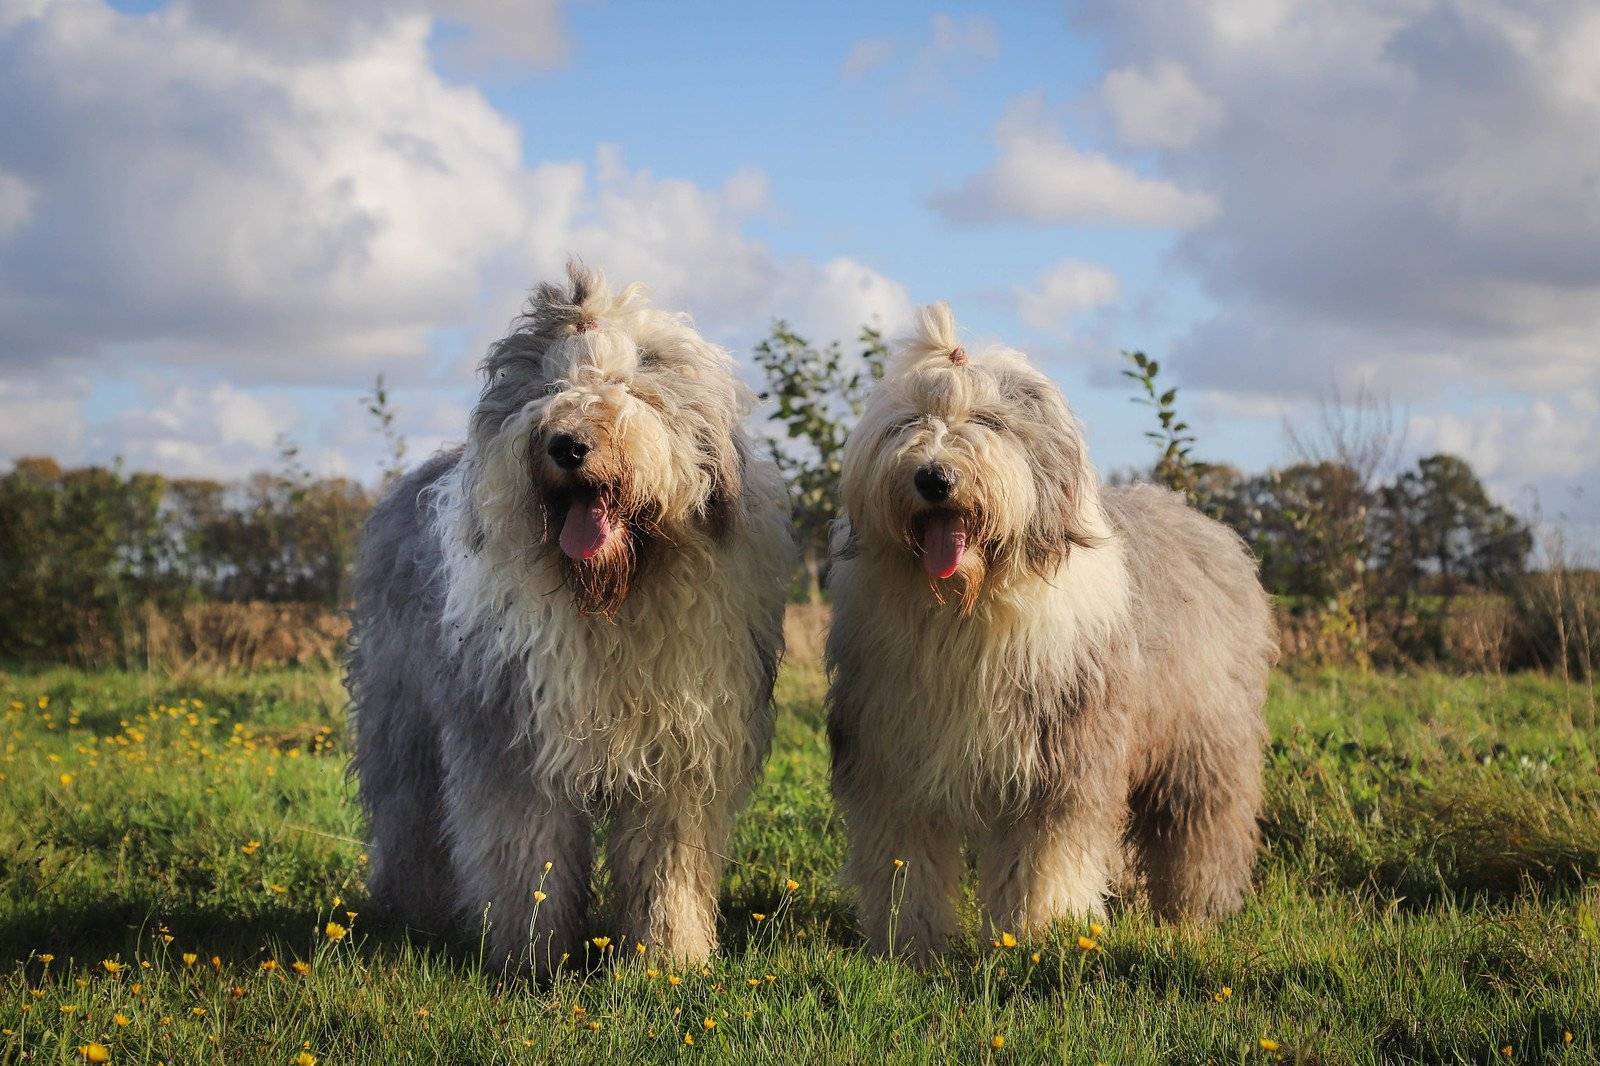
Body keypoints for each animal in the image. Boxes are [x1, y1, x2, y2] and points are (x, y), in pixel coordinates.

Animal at [353, 260, 796, 966]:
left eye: (631, 389)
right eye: (551, 388)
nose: (567, 443)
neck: (615, 596)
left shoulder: (683, 754)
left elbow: (667, 863)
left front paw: (670, 957)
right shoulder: (517, 738)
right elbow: (527, 854)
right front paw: (530, 957)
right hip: (404, 714)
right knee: (408, 813)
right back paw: (413, 913)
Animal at [825, 300, 1273, 953]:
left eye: (988, 421)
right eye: (909, 422)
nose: (934, 477)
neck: (968, 606)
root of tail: (1205, 524)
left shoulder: (1062, 753)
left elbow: (1047, 854)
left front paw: (1040, 933)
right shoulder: (894, 751)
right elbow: (905, 856)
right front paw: (909, 942)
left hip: (1201, 738)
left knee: (1200, 823)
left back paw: (1195, 912)